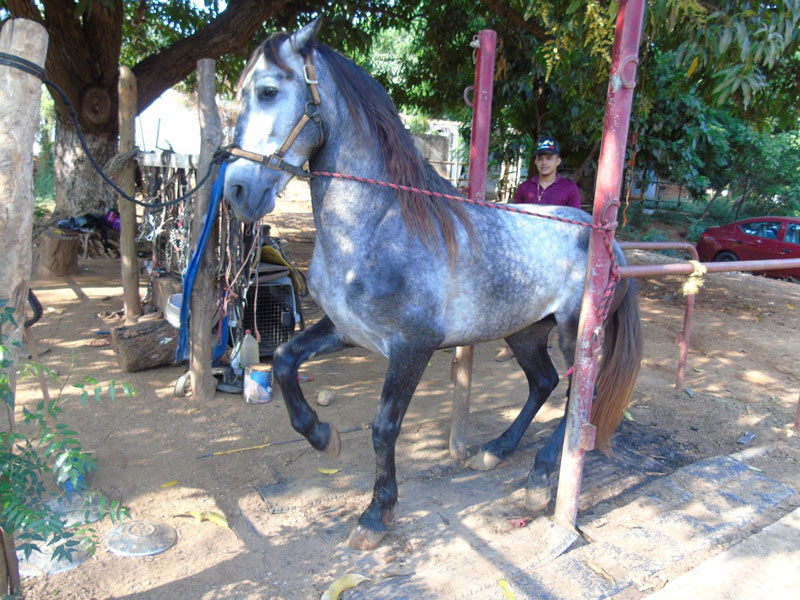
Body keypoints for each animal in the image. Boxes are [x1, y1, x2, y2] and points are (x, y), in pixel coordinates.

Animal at [223, 18, 643, 551]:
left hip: (575, 334)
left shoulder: (413, 347)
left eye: (268, 91)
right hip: (524, 332)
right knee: (543, 382)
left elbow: (384, 426)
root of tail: (609, 242)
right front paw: (323, 437)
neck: (380, 224)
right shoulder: (344, 330)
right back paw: (497, 449)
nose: (238, 191)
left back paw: (540, 477)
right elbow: (281, 360)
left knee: (575, 398)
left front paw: (376, 514)